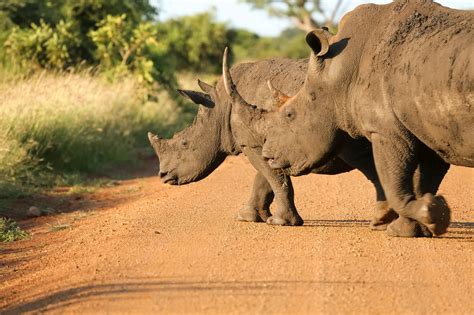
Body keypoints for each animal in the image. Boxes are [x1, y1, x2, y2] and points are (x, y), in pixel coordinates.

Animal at [150, 55, 432, 236]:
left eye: (184, 144)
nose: (162, 176)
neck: (219, 108)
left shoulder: (253, 143)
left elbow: (273, 179)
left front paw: (280, 222)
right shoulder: (265, 143)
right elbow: (264, 180)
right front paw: (249, 216)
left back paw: (388, 223)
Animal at [227, 0, 474, 237]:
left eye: (290, 115)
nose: (267, 155)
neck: (339, 74)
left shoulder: (386, 130)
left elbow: (395, 181)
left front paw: (427, 214)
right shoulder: (432, 131)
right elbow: (426, 180)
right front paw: (416, 223)